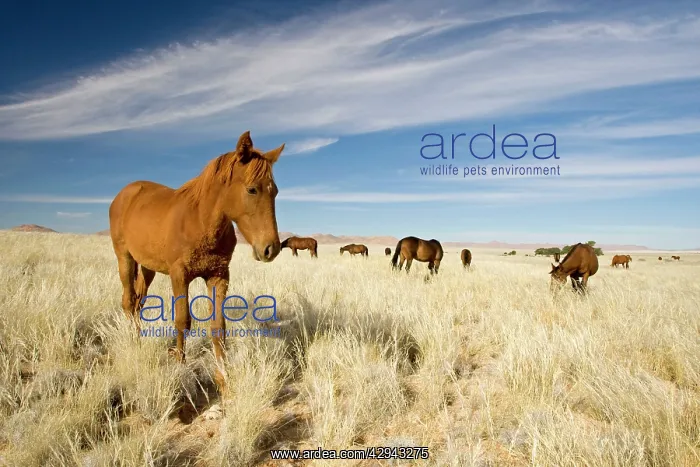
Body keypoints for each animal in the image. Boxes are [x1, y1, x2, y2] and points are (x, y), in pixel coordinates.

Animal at [109, 131, 284, 392]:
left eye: (275, 192)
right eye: (252, 190)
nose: (270, 249)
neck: (200, 221)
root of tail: (124, 194)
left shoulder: (218, 276)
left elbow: (218, 326)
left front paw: (224, 375)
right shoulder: (179, 275)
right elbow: (183, 320)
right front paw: (180, 365)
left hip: (148, 267)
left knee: (139, 301)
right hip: (125, 258)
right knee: (129, 301)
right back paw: (134, 342)